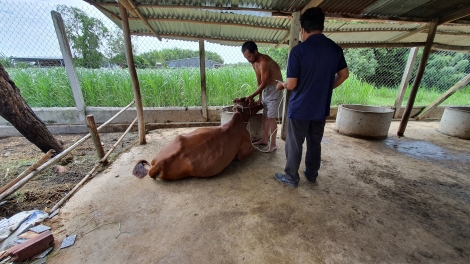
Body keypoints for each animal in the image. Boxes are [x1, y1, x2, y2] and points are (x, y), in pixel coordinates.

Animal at [133, 99, 264, 182]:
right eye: (252, 101)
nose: (261, 103)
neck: (238, 120)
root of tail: (159, 163)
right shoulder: (245, 147)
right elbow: (252, 150)